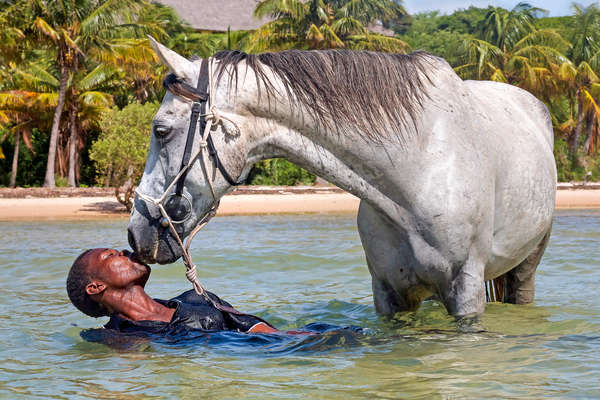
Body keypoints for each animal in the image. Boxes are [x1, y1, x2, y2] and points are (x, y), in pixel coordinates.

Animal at [129, 39, 556, 318]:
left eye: (160, 130)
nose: (135, 233)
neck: (416, 174)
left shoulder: (465, 293)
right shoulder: (389, 295)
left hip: (526, 266)